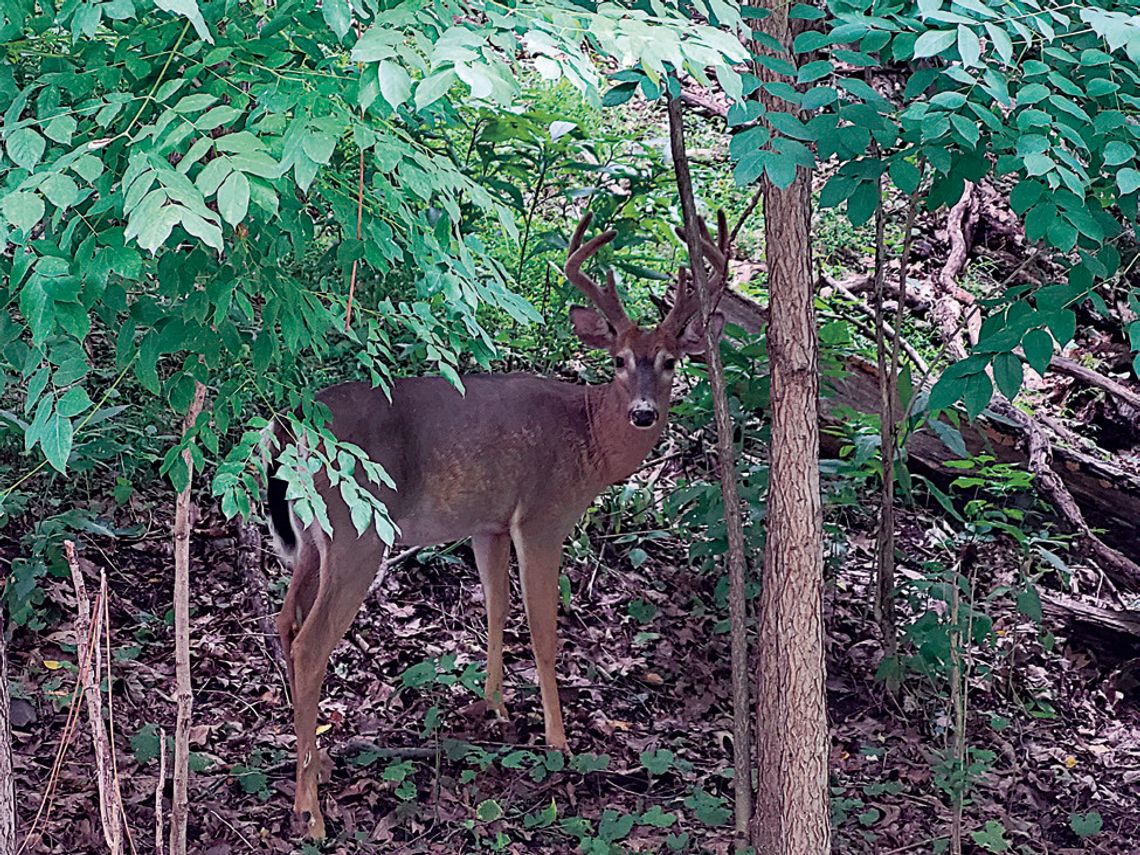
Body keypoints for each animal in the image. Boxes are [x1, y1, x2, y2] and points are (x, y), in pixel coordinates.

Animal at [265, 213, 730, 839]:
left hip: (314, 539)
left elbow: (495, 607)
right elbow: (544, 630)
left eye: (671, 360)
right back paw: (309, 812)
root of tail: (290, 429)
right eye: (618, 360)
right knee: (310, 645)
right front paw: (557, 740)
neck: (591, 439)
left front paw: (495, 704)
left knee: (285, 623)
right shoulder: (543, 516)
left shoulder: (489, 524)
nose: (643, 413)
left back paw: (321, 763)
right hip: (356, 530)